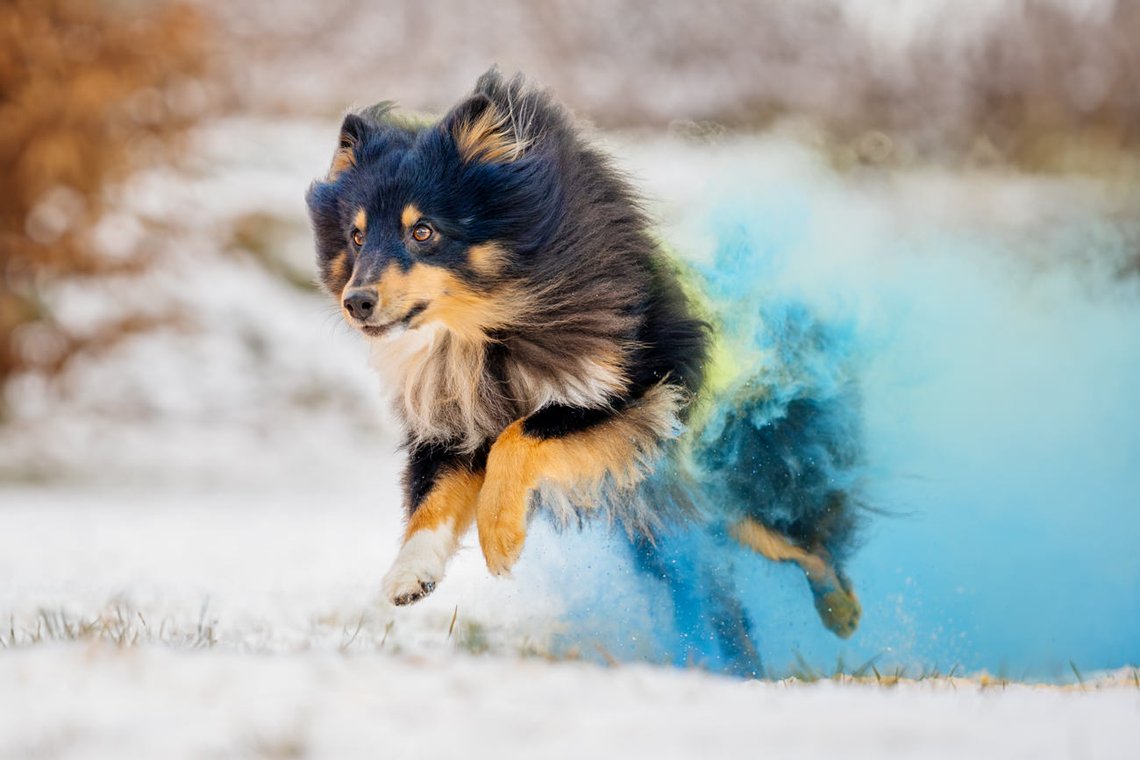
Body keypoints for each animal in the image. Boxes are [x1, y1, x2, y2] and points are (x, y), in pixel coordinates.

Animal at [307, 71, 857, 642]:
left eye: (423, 231)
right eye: (356, 235)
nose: (356, 302)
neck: (486, 336)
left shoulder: (638, 389)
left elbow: (521, 435)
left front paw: (500, 538)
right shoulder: (454, 424)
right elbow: (432, 495)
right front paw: (409, 576)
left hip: (749, 480)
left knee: (810, 542)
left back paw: (842, 614)